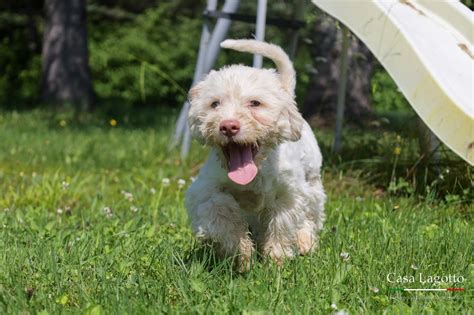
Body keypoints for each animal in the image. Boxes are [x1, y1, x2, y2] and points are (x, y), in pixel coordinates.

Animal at [186, 39, 326, 270]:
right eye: (214, 103)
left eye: (255, 103)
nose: (228, 126)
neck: (255, 171)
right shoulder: (206, 190)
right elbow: (222, 217)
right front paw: (241, 255)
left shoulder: (288, 193)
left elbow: (281, 226)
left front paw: (275, 260)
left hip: (312, 181)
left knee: (311, 214)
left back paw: (306, 241)